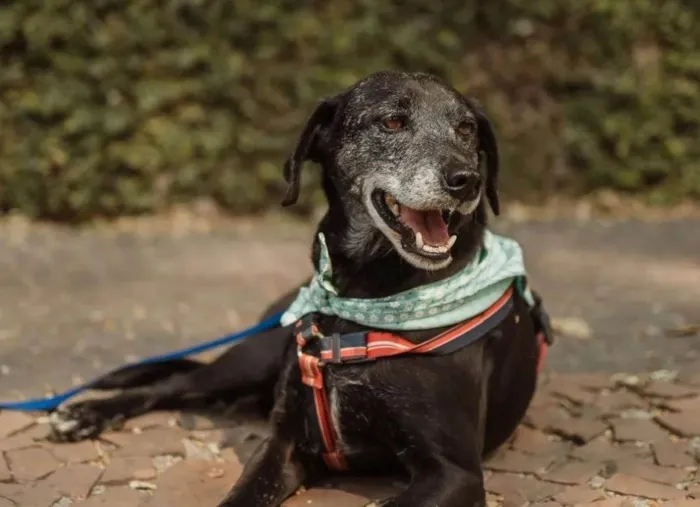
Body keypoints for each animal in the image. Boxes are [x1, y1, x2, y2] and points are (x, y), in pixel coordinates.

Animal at [49, 71, 552, 507]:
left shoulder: (454, 471)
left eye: (466, 129)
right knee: (176, 383)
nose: (467, 180)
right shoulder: (286, 442)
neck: (363, 297)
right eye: (392, 121)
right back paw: (83, 414)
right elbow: (241, 495)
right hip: (253, 357)